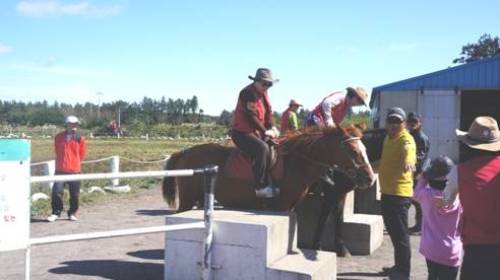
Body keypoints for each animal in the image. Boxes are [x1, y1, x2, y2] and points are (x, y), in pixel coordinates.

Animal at [162, 126, 376, 211]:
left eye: (365, 148)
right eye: (352, 150)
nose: (370, 178)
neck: (296, 162)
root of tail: (185, 152)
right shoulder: (281, 206)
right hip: (188, 199)